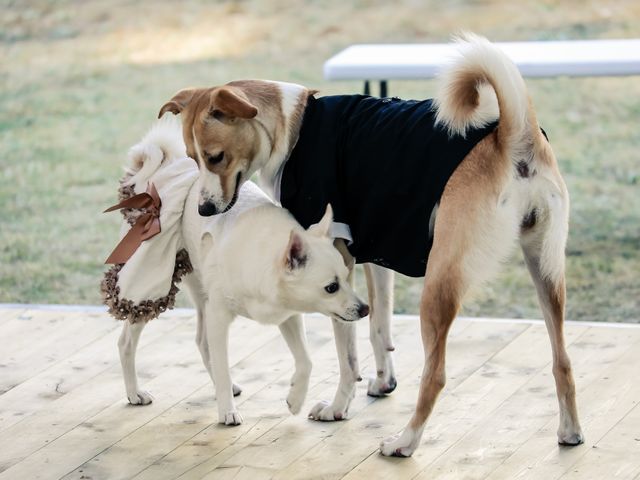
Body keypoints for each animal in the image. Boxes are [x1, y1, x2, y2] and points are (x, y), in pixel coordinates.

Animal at [113, 122, 368, 426]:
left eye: (347, 277)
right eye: (331, 287)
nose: (365, 309)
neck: (264, 256)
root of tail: (165, 169)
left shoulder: (288, 316)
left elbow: (306, 361)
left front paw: (295, 400)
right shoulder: (220, 316)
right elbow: (224, 365)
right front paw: (227, 412)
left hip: (202, 292)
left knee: (202, 342)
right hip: (151, 287)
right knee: (127, 342)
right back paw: (134, 392)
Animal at [158, 34, 584, 458]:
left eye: (215, 157)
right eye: (192, 158)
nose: (203, 209)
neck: (296, 127)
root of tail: (513, 136)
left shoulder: (338, 258)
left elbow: (347, 354)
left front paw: (337, 407)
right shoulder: (375, 254)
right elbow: (379, 325)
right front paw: (383, 383)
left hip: (440, 284)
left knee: (436, 375)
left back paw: (405, 441)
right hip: (546, 272)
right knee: (562, 359)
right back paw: (570, 431)